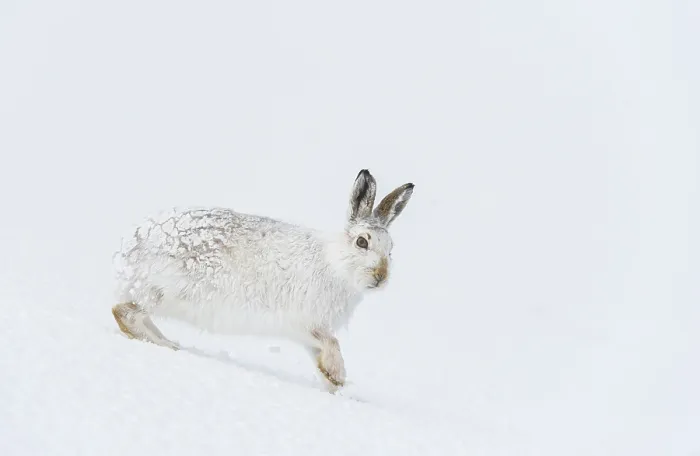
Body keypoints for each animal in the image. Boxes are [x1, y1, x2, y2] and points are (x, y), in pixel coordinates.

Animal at [111, 169, 414, 392]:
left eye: (391, 249)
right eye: (362, 242)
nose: (381, 277)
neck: (335, 263)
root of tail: (128, 249)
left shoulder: (309, 331)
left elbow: (321, 353)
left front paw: (333, 382)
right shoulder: (304, 321)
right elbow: (332, 343)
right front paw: (338, 375)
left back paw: (170, 343)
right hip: (164, 292)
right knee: (124, 313)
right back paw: (165, 345)